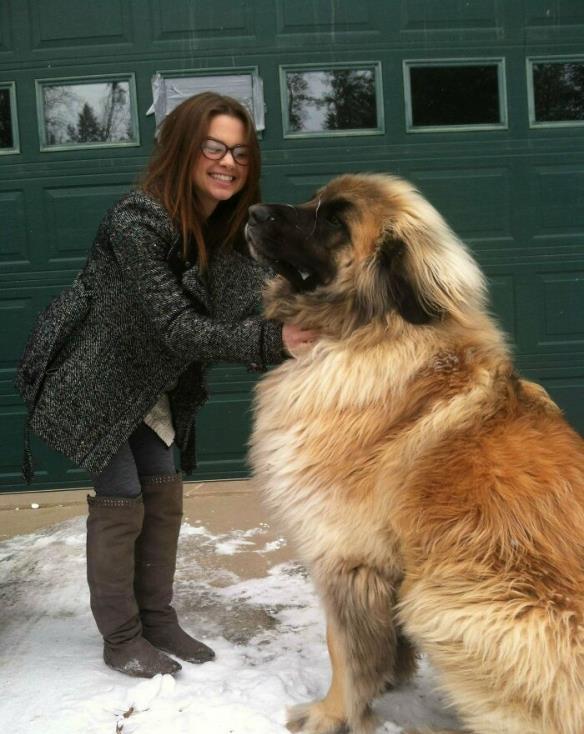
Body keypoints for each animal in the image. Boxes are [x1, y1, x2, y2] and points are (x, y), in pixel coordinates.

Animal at [245, 175, 584, 734]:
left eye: (334, 220)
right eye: (313, 200)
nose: (250, 212)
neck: (372, 330)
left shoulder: (345, 556)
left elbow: (343, 648)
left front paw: (331, 713)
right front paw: (384, 681)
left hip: (444, 597)